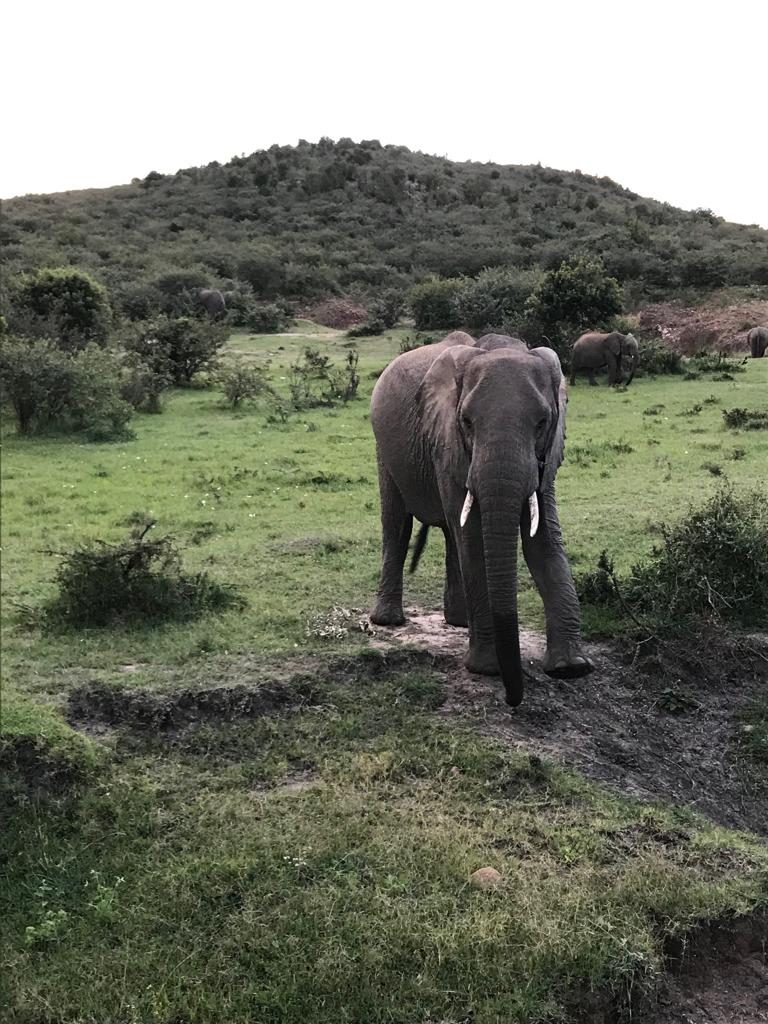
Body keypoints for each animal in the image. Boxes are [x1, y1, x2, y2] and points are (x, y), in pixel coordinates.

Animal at [370, 331, 593, 708]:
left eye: (542, 423)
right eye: (467, 423)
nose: (513, 698)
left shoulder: (546, 456)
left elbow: (544, 539)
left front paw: (570, 668)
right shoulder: (447, 441)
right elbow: (473, 539)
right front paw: (488, 669)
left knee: (449, 532)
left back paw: (458, 621)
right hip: (384, 446)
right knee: (397, 524)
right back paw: (387, 620)